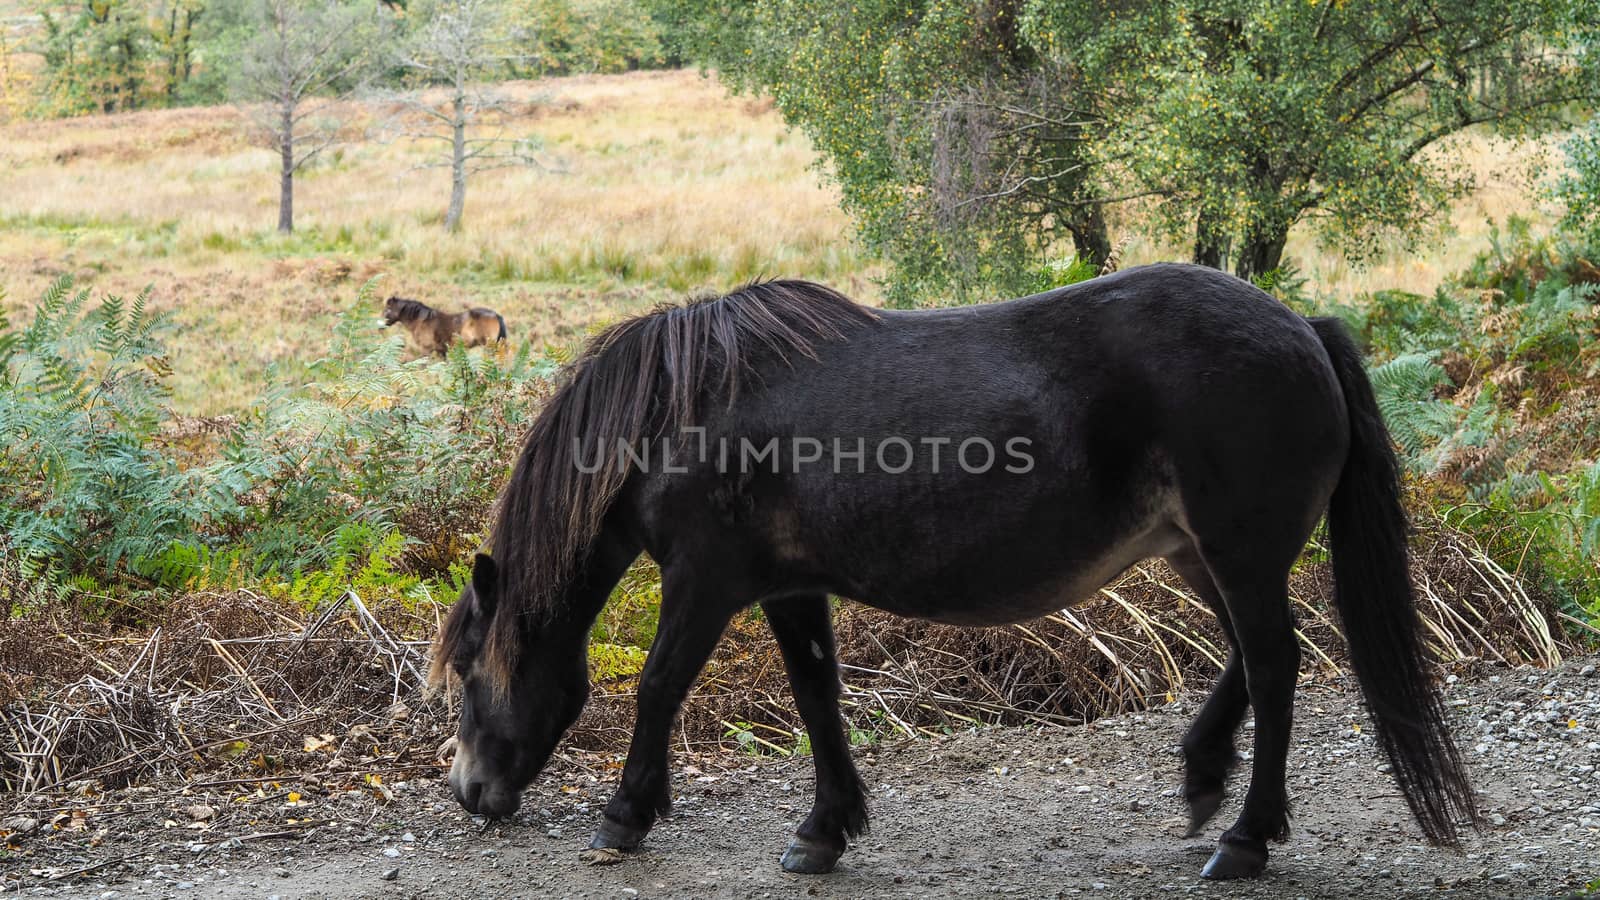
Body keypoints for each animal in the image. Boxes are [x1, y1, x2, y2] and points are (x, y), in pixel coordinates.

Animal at [432, 264, 1478, 877]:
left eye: (467, 672)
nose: (469, 793)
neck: (680, 414)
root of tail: (1303, 327)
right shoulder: (789, 589)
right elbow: (818, 698)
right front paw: (824, 830)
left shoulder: (706, 582)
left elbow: (656, 686)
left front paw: (625, 815)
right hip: (1200, 556)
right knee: (1254, 663)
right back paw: (1203, 774)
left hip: (1239, 555)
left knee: (1275, 665)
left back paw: (1245, 839)